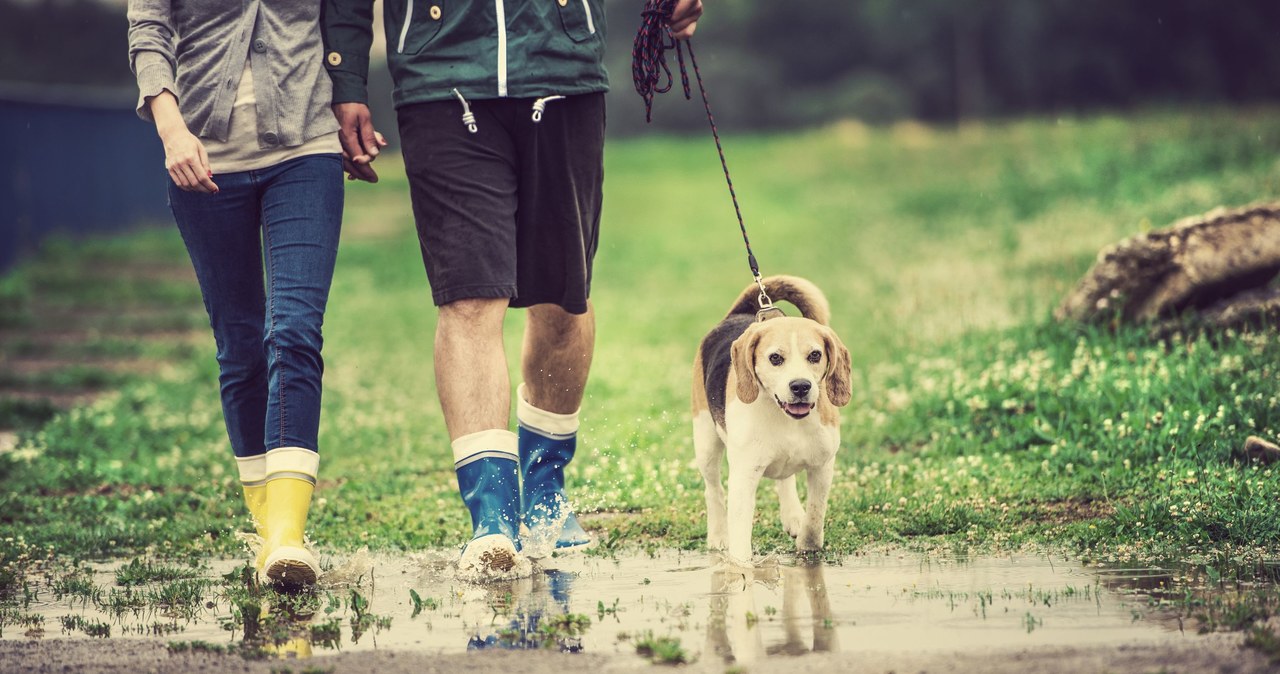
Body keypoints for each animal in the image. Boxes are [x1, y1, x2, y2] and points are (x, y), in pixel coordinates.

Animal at [691, 273, 849, 565]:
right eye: (775, 358)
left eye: (815, 355)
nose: (800, 386)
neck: (786, 418)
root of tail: (739, 314)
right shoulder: (744, 476)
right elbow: (740, 535)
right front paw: (742, 567)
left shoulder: (823, 466)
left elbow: (815, 514)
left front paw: (808, 546)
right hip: (705, 440)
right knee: (714, 490)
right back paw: (718, 535)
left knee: (784, 479)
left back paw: (793, 516)